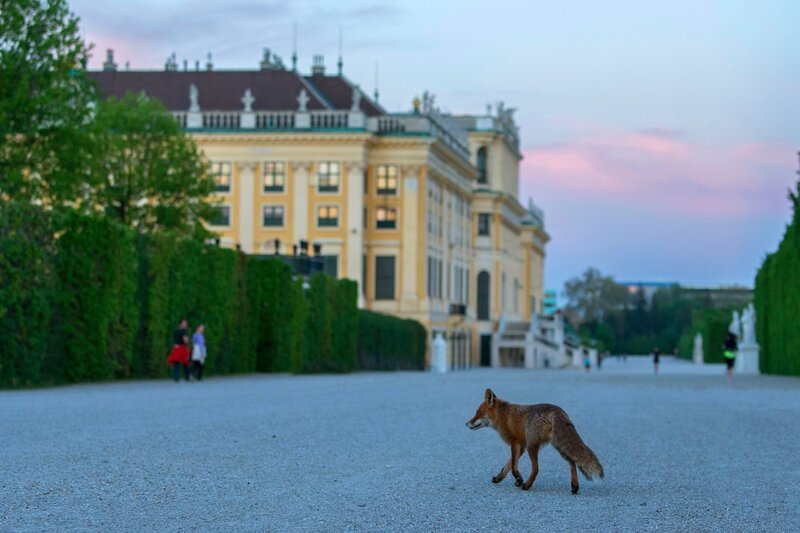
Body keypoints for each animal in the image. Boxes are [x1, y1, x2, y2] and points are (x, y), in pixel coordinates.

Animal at [466, 388, 603, 494]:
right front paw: (499, 478)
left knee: (536, 468)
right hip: (559, 447)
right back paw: (574, 487)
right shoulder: (521, 447)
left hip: (532, 446)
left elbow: (513, 467)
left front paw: (519, 480)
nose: (466, 423)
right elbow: (507, 466)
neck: (503, 416)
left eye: (478, 413)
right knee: (572, 462)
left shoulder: (516, 443)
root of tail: (557, 410)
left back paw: (527, 486)